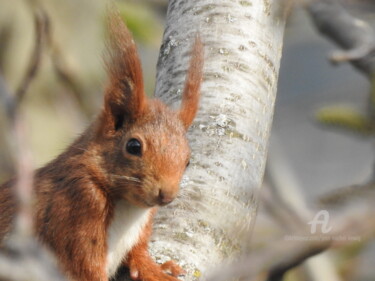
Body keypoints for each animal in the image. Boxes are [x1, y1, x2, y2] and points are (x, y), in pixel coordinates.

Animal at [0, 8, 204, 280]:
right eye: (133, 146)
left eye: (188, 160)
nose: (166, 195)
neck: (129, 208)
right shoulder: (76, 210)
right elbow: (86, 269)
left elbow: (138, 253)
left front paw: (157, 268)